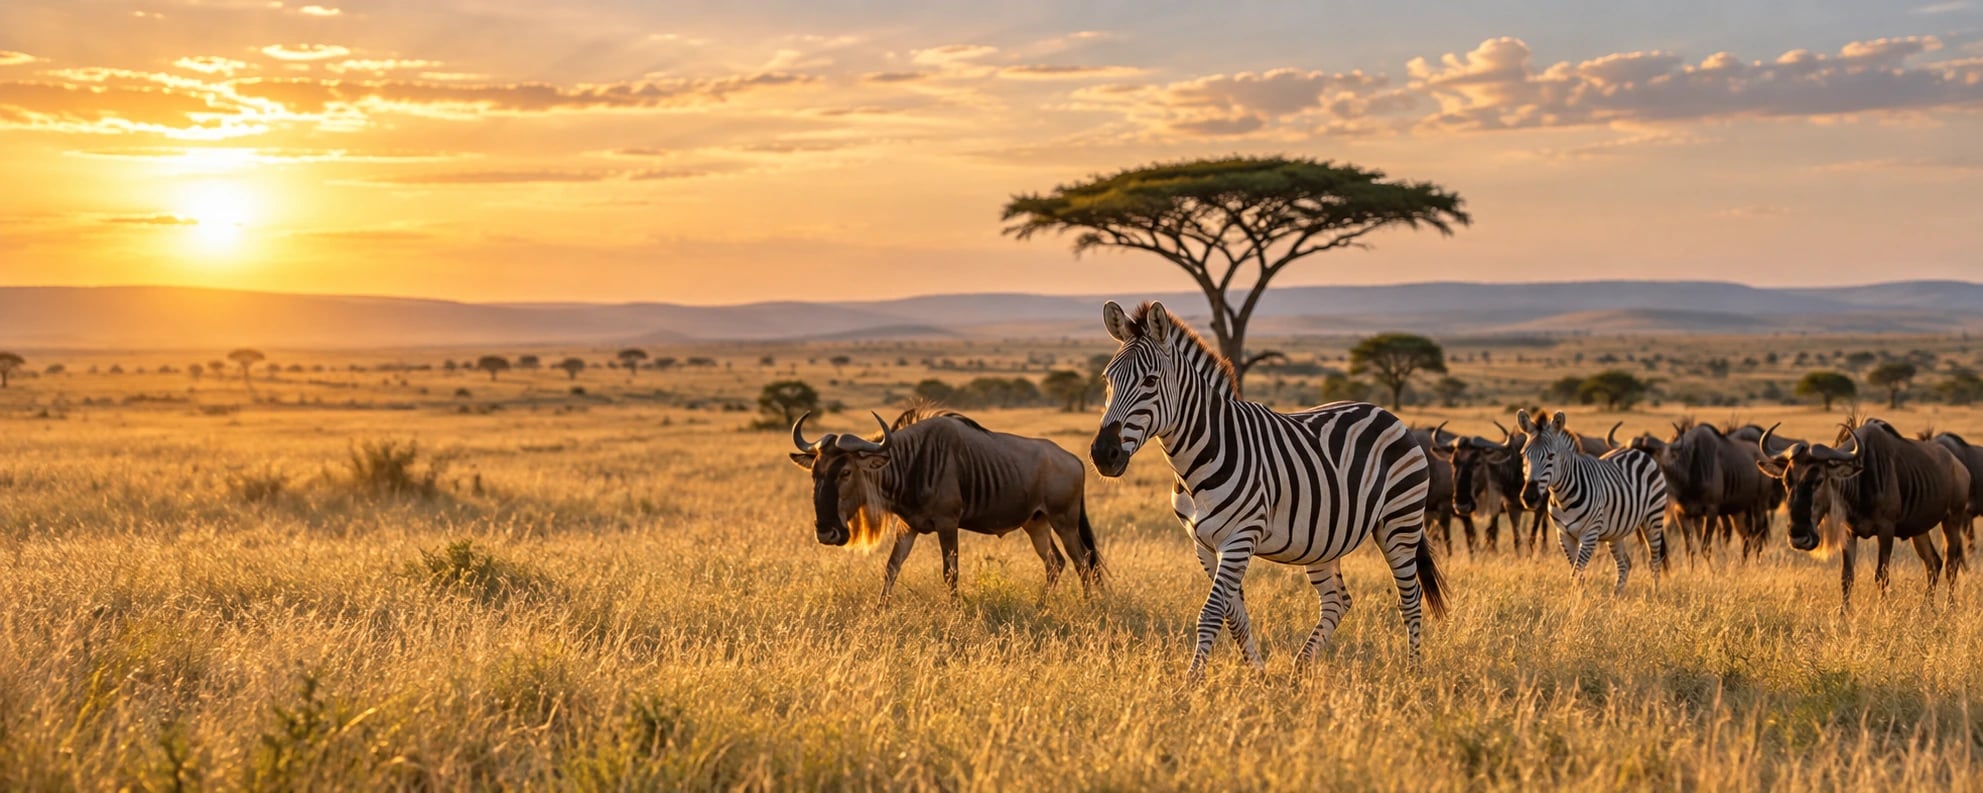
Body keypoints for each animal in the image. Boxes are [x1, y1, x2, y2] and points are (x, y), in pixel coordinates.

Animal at [1088, 301, 1448, 679]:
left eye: (1150, 381)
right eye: (1107, 380)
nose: (1103, 454)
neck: (1198, 459)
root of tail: (1386, 414)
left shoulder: (1240, 538)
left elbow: (1211, 613)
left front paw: (1192, 679)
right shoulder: (1203, 544)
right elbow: (1234, 615)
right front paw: (1257, 674)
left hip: (1399, 523)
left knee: (1410, 597)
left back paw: (1413, 671)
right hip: (1323, 540)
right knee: (1337, 600)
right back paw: (1301, 666)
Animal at [1516, 409, 1670, 593]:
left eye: (1551, 456)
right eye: (1523, 455)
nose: (1529, 497)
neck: (1563, 498)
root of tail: (1637, 451)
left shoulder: (1589, 534)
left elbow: (1576, 573)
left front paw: (1574, 600)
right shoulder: (1564, 535)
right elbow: (1577, 574)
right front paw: (1577, 598)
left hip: (1653, 518)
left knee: (1654, 561)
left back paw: (1654, 594)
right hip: (1616, 531)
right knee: (1624, 563)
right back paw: (1616, 597)